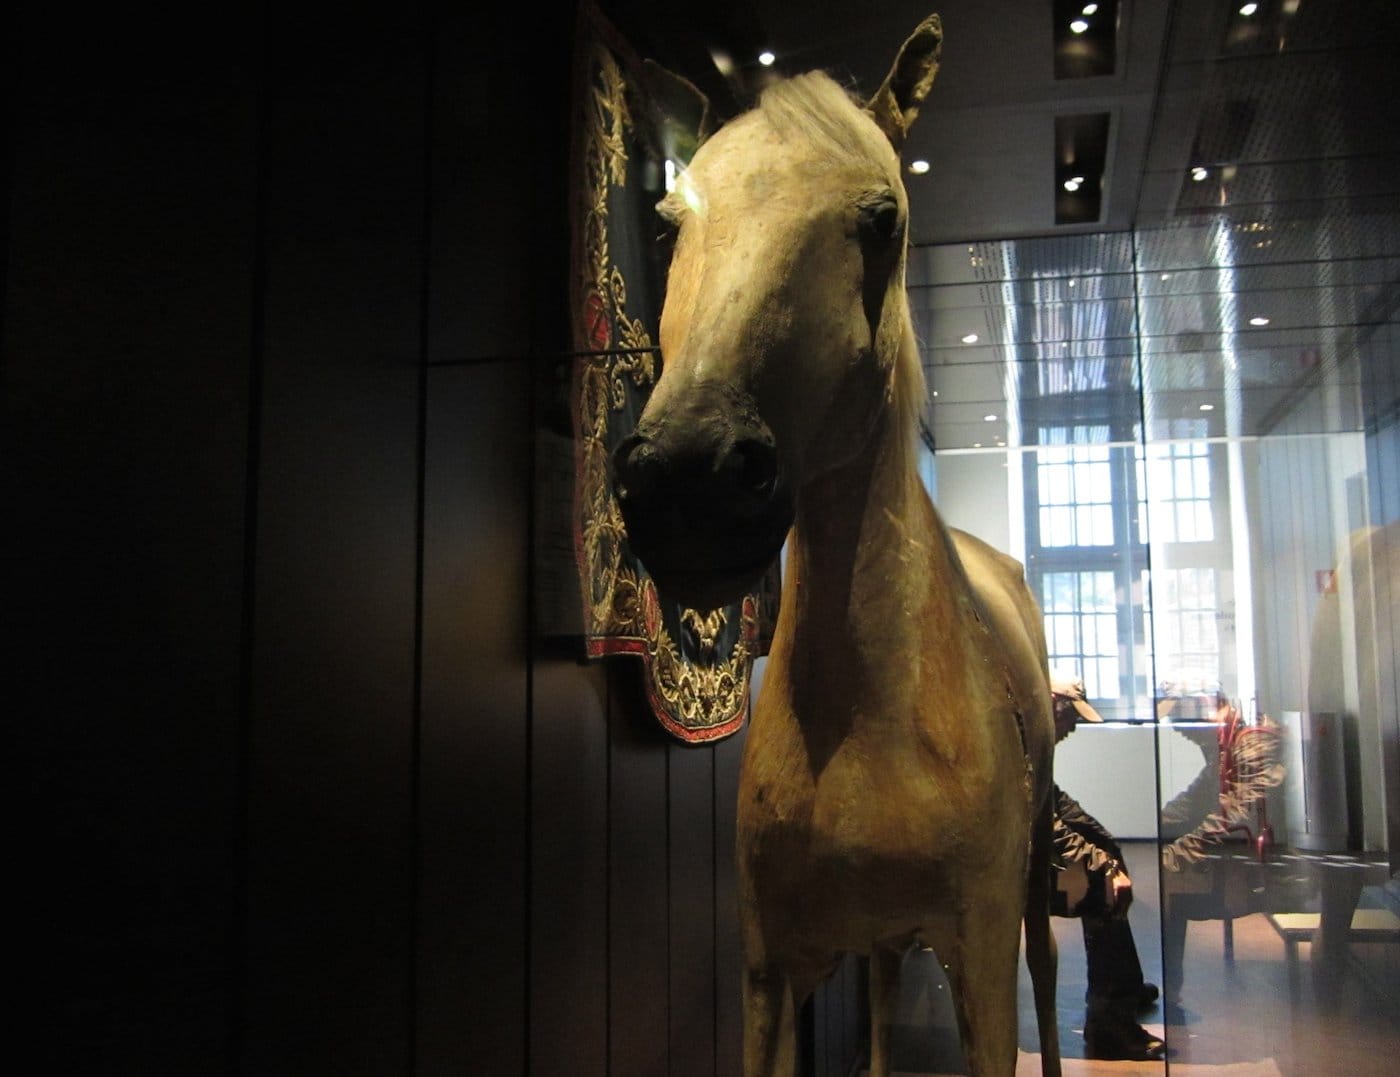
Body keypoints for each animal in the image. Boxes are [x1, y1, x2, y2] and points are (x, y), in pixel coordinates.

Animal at [610, 15, 1061, 1076]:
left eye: (883, 219)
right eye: (668, 224)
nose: (689, 479)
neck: (875, 729)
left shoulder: (982, 965)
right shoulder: (772, 974)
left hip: (1028, 893)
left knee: (1052, 971)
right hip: (881, 944)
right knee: (889, 996)